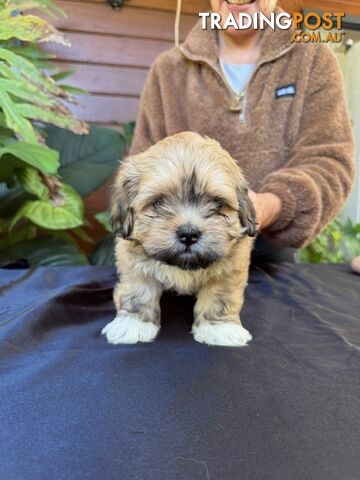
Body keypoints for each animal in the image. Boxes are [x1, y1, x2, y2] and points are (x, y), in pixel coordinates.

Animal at [102, 133, 256, 346]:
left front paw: (220, 328)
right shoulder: (133, 261)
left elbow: (220, 296)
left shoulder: (230, 267)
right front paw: (133, 325)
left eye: (216, 202)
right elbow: (138, 291)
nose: (189, 233)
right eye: (158, 202)